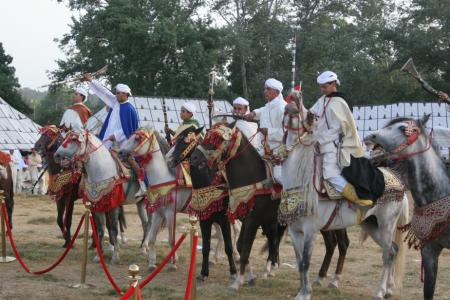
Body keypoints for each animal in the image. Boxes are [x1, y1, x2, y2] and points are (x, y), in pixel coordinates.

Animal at [53, 129, 147, 262]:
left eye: (74, 139)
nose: (56, 155)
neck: (103, 171)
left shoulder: (112, 205)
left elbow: (113, 229)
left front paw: (115, 255)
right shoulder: (98, 205)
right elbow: (101, 229)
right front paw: (99, 255)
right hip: (140, 203)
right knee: (146, 223)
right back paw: (143, 247)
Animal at [167, 126, 237, 282]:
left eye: (185, 141)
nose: (169, 160)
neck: (208, 182)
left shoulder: (224, 219)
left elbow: (228, 246)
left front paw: (234, 272)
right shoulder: (205, 219)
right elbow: (205, 247)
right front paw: (203, 273)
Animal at [186, 123, 284, 290]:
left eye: (217, 139)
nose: (194, 158)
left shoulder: (251, 220)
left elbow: (242, 249)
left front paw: (237, 281)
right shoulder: (243, 217)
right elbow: (239, 246)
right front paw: (248, 277)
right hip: (271, 221)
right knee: (274, 241)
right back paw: (269, 270)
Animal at [284, 102, 410, 298]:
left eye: (300, 112)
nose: (291, 107)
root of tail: (398, 182)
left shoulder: (310, 231)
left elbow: (305, 262)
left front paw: (305, 293)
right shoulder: (294, 230)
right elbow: (299, 263)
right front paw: (302, 291)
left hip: (386, 225)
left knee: (388, 254)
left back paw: (379, 291)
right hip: (371, 225)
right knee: (393, 250)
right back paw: (388, 289)